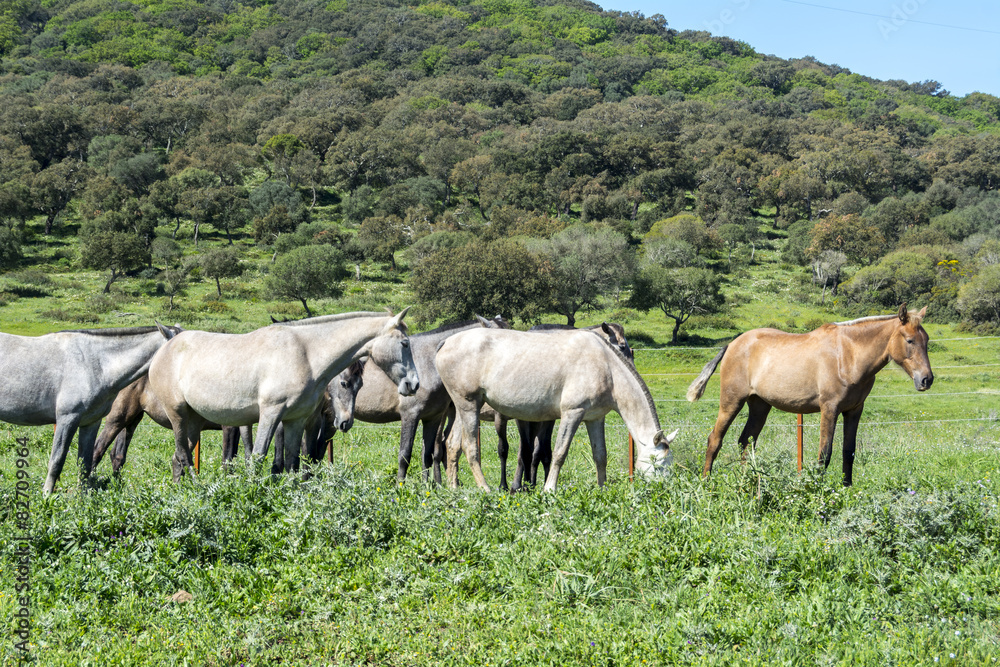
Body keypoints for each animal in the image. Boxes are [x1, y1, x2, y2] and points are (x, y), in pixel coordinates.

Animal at [0, 324, 180, 496]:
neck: (95, 364)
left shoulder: (91, 422)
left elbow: (85, 463)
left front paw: (83, 498)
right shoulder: (67, 419)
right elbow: (56, 461)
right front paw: (46, 497)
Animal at [146, 310, 416, 482]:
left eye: (360, 385)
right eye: (404, 343)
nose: (413, 384)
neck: (306, 353)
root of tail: (165, 349)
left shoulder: (296, 420)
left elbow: (293, 462)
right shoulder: (271, 413)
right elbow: (258, 457)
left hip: (193, 421)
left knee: (178, 458)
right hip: (178, 415)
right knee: (183, 455)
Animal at [342, 316, 512, 482]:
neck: (426, 364)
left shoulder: (433, 417)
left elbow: (427, 456)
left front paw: (427, 486)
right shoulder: (410, 415)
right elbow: (405, 455)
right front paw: (400, 486)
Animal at [434, 326, 676, 494]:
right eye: (658, 464)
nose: (662, 491)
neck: (606, 367)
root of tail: (445, 342)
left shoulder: (595, 419)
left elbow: (600, 455)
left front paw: (602, 489)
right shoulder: (572, 413)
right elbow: (560, 452)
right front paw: (549, 489)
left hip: (463, 408)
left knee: (452, 444)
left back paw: (454, 489)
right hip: (468, 406)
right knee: (469, 447)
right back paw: (485, 489)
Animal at [684, 306, 932, 488]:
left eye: (927, 340)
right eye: (909, 340)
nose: (926, 379)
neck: (848, 356)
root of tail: (732, 344)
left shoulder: (854, 411)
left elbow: (848, 452)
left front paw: (847, 488)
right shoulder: (829, 409)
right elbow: (825, 454)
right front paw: (816, 490)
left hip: (760, 406)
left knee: (746, 441)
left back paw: (750, 479)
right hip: (731, 402)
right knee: (715, 439)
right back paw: (706, 482)